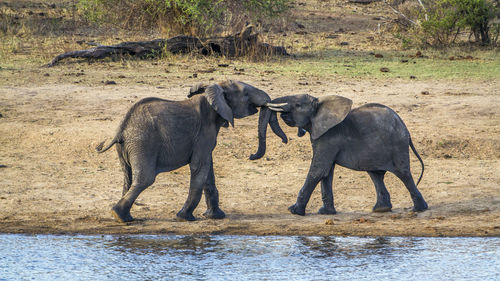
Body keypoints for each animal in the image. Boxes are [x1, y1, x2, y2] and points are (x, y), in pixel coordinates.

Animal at [95, 80, 288, 222]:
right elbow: (199, 167)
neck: (214, 89)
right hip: (143, 143)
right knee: (145, 179)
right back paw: (120, 216)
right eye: (246, 94)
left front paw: (215, 216)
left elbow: (208, 169)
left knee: (128, 177)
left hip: (128, 147)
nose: (251, 156)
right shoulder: (204, 131)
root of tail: (121, 129)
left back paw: (124, 216)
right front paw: (185, 217)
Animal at [268, 94, 428, 214]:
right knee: (375, 175)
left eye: (297, 105)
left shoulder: (329, 137)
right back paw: (381, 209)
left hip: (397, 145)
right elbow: (326, 172)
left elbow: (318, 170)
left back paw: (418, 209)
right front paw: (326, 213)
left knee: (404, 174)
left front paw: (293, 211)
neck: (319, 104)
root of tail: (405, 128)